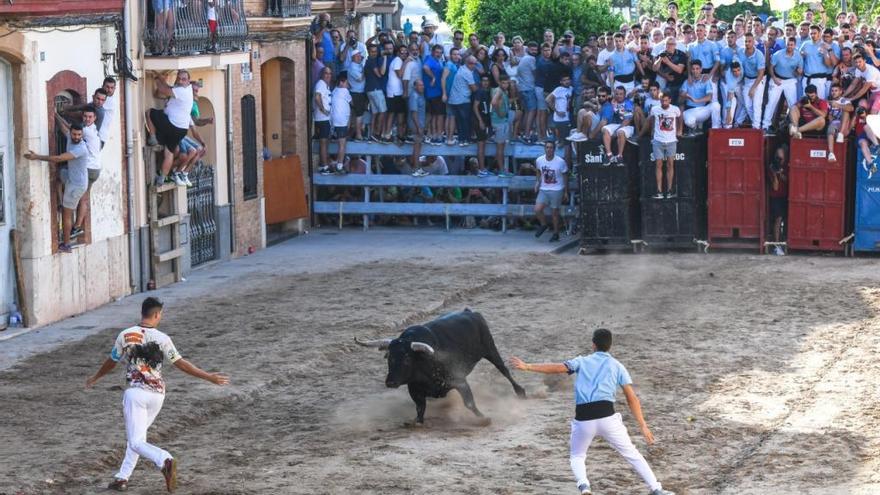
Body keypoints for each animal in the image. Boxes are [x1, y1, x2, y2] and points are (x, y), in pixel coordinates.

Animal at [354, 310, 524, 422]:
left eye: (407, 359)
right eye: (389, 358)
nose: (390, 382)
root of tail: (471, 312)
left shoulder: (459, 381)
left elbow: (469, 402)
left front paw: (483, 418)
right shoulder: (414, 389)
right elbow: (420, 407)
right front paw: (416, 422)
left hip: (490, 349)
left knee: (504, 369)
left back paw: (520, 392)